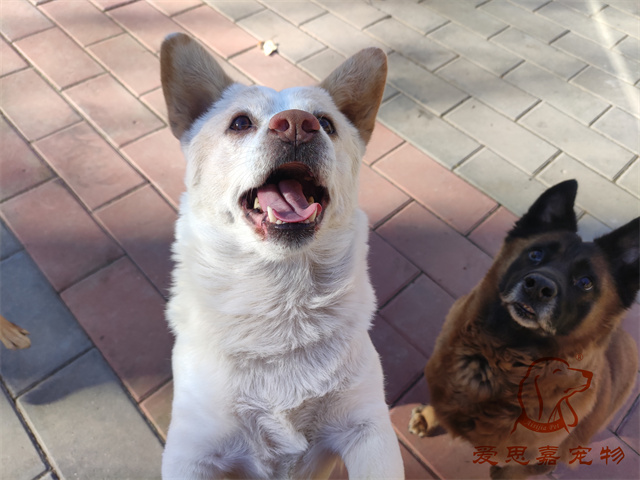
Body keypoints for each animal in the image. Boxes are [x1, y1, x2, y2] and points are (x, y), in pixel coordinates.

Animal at [159, 33, 403, 479]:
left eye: (326, 123)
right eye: (240, 122)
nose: (296, 124)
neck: (280, 305)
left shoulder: (368, 427)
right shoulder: (191, 450)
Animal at [409, 180, 639, 479]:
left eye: (586, 282)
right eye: (535, 254)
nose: (538, 287)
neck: (499, 359)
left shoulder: (516, 465)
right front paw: (429, 417)